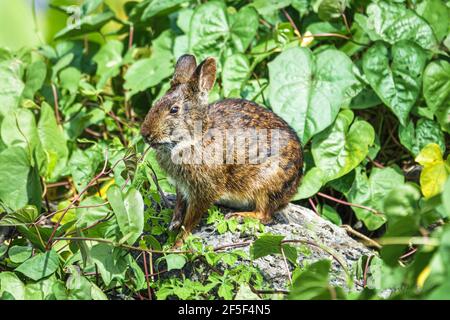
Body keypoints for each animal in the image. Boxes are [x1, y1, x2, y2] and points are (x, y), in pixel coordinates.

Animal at [141, 53, 302, 241]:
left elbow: (191, 220)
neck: (195, 137)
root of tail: (297, 180)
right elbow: (180, 206)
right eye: (156, 103)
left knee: (265, 214)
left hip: (267, 183)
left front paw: (178, 243)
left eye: (174, 109)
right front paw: (173, 225)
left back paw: (238, 216)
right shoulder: (182, 187)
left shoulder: (204, 191)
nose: (145, 134)